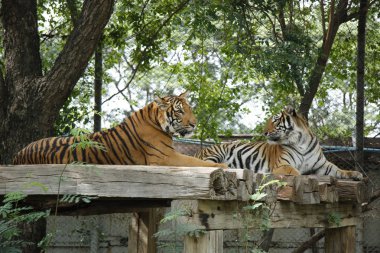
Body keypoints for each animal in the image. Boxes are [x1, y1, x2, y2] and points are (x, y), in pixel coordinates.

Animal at [13, 92, 227, 169]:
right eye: (180, 111)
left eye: (190, 109)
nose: (194, 124)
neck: (156, 121)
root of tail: (18, 155)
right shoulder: (164, 157)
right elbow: (195, 161)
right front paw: (224, 166)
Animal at [194, 105, 364, 181]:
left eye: (275, 120)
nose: (264, 132)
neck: (300, 141)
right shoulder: (283, 164)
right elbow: (296, 173)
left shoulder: (323, 165)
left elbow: (340, 170)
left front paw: (356, 174)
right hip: (216, 152)